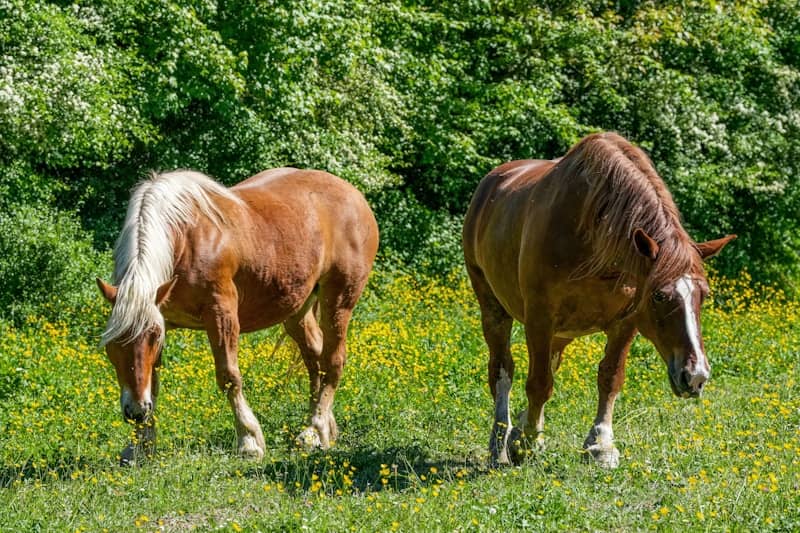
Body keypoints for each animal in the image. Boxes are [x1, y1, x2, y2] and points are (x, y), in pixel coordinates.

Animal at [96, 168, 379, 464]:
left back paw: (315, 428)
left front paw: (249, 441)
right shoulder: (160, 316)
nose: (136, 412)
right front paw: (140, 446)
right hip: (297, 308)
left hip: (339, 299)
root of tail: (353, 194)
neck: (185, 237)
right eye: (111, 346)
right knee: (315, 359)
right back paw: (322, 430)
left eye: (151, 338)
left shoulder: (222, 313)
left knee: (333, 361)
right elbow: (154, 383)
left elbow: (229, 376)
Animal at [462, 132, 735, 468]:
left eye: (703, 295)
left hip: (561, 332)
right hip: (494, 308)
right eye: (659, 295)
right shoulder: (539, 318)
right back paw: (500, 441)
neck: (589, 231)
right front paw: (527, 442)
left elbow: (609, 377)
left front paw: (600, 444)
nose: (696, 377)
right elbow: (538, 383)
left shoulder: (626, 322)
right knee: (503, 371)